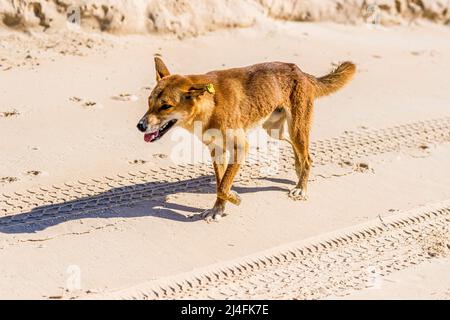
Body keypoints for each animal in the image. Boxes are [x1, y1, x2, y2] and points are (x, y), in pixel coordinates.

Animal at [137, 57, 356, 221]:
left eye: (166, 106)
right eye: (149, 102)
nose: (140, 126)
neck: (211, 105)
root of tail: (300, 71)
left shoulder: (240, 147)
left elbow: (223, 185)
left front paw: (233, 199)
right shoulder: (217, 150)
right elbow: (220, 185)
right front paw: (218, 209)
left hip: (296, 128)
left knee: (308, 157)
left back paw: (301, 188)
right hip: (275, 130)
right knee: (298, 150)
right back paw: (298, 169)